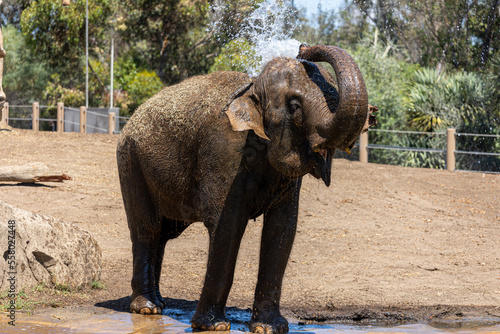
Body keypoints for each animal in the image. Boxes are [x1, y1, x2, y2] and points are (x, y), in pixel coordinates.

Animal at [117, 45, 376, 334]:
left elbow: (282, 229)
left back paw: (159, 303)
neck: (252, 89)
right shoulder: (224, 154)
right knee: (147, 230)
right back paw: (147, 308)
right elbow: (227, 226)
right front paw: (214, 326)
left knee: (163, 235)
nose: (303, 48)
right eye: (294, 106)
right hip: (130, 162)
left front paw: (270, 328)